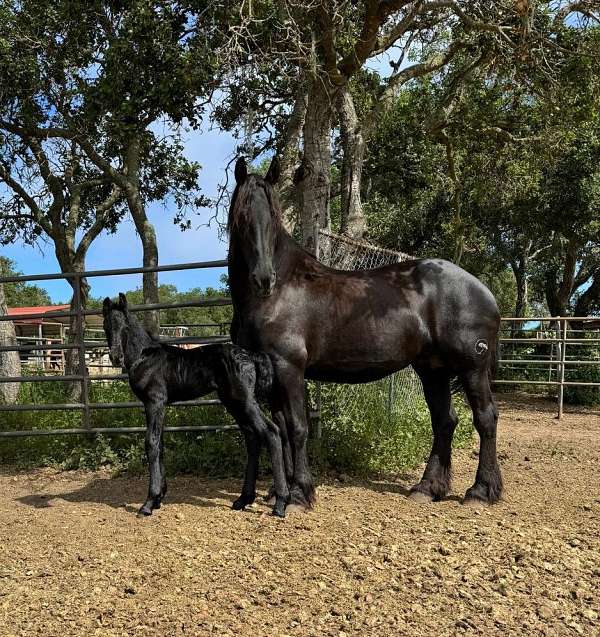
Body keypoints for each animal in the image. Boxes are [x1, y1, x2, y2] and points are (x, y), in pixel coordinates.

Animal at [102, 294, 290, 516]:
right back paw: (243, 499)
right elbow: (160, 444)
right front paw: (159, 498)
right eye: (106, 326)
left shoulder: (154, 402)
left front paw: (149, 502)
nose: (115, 357)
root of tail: (250, 355)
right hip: (234, 402)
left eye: (125, 327)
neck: (144, 356)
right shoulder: (160, 406)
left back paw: (280, 503)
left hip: (244, 400)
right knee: (252, 437)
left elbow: (151, 443)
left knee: (271, 432)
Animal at [225, 158, 502, 512]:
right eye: (243, 216)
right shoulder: (272, 371)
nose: (263, 278)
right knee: (445, 421)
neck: (281, 290)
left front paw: (300, 494)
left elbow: (298, 427)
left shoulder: (289, 367)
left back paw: (480, 491)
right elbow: (283, 429)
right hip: (432, 369)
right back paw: (427, 488)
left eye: (272, 218)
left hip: (471, 367)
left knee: (485, 419)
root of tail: (483, 290)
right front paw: (278, 492)